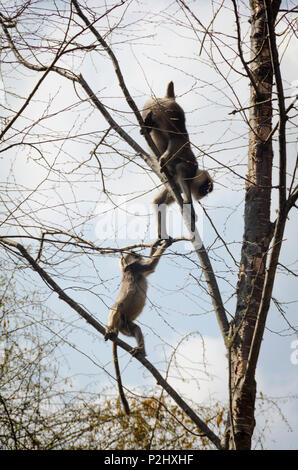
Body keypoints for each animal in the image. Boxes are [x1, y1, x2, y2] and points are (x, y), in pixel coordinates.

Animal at [104, 239, 171, 414]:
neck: (126, 269)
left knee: (136, 329)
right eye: (133, 254)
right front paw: (165, 244)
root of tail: (118, 326)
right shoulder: (136, 267)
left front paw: (155, 244)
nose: (137, 253)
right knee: (115, 308)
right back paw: (109, 330)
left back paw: (140, 350)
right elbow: (151, 265)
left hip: (125, 325)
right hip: (119, 318)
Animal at [141, 81, 213, 239]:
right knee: (178, 136)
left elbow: (158, 202)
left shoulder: (174, 186)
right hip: (170, 111)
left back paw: (148, 125)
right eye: (205, 188)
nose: (204, 192)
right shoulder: (190, 170)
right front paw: (191, 208)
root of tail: (170, 99)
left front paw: (162, 236)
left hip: (154, 105)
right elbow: (181, 169)